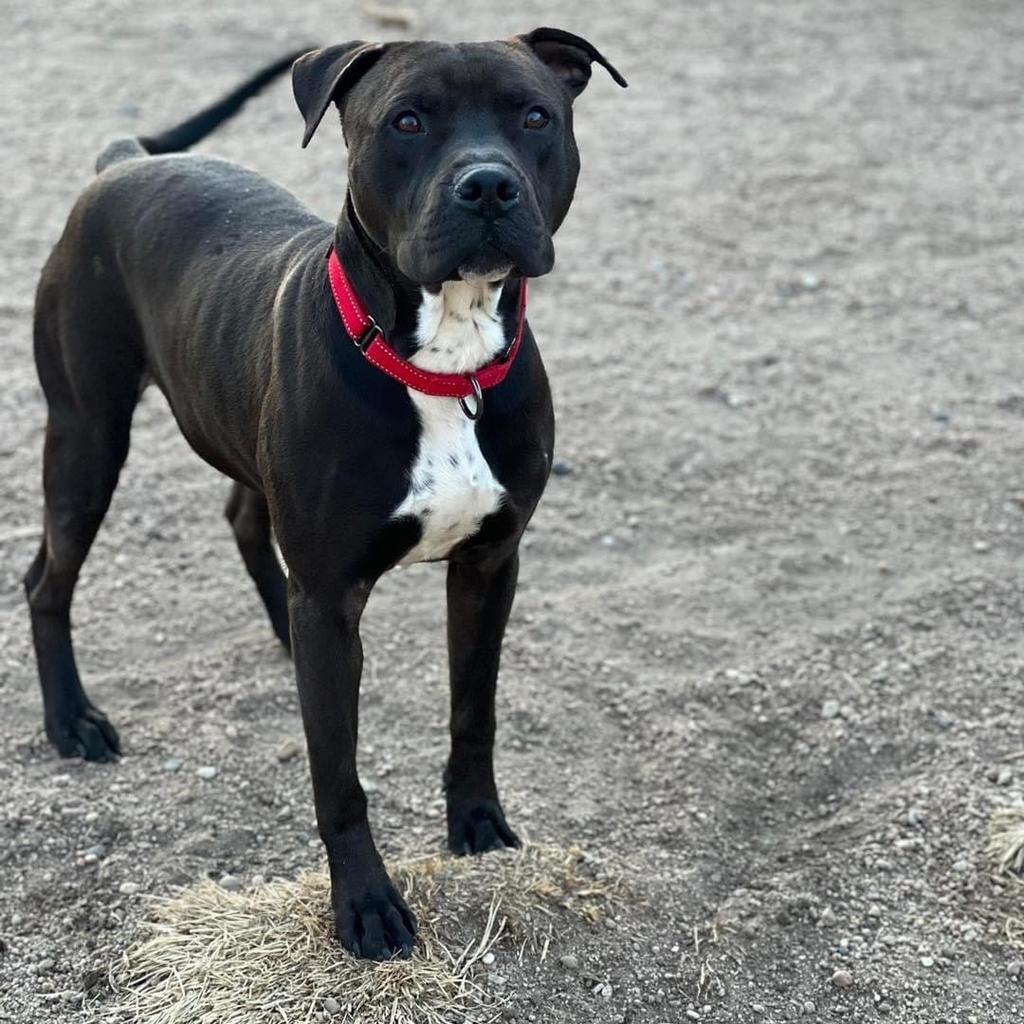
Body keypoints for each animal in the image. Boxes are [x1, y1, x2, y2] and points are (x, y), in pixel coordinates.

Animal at [25, 32, 622, 958]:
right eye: (407, 121)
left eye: (534, 116)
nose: (488, 184)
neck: (443, 360)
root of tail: (122, 163)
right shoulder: (338, 592)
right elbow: (338, 775)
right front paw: (366, 906)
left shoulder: (490, 566)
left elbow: (474, 710)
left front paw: (478, 825)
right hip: (87, 438)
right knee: (47, 580)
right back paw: (72, 721)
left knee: (242, 523)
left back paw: (279, 628)